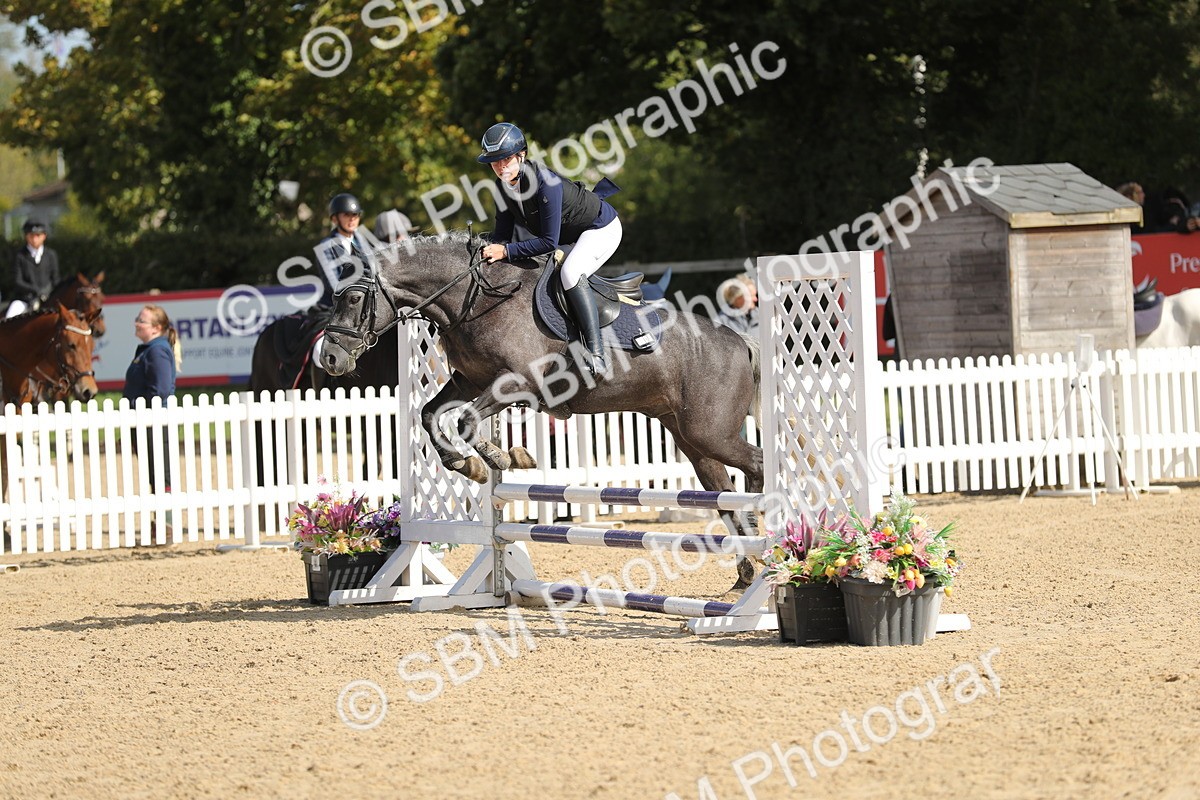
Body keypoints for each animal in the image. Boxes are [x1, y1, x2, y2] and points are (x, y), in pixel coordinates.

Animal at [319, 232, 764, 586]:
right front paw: (468, 465)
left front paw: (501, 457)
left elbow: (466, 421)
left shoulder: (516, 383)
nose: (330, 359)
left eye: (354, 298)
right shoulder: (470, 382)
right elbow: (431, 415)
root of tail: (739, 340)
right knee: (726, 496)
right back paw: (747, 570)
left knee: (757, 464)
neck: (478, 299)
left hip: (711, 433)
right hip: (692, 439)